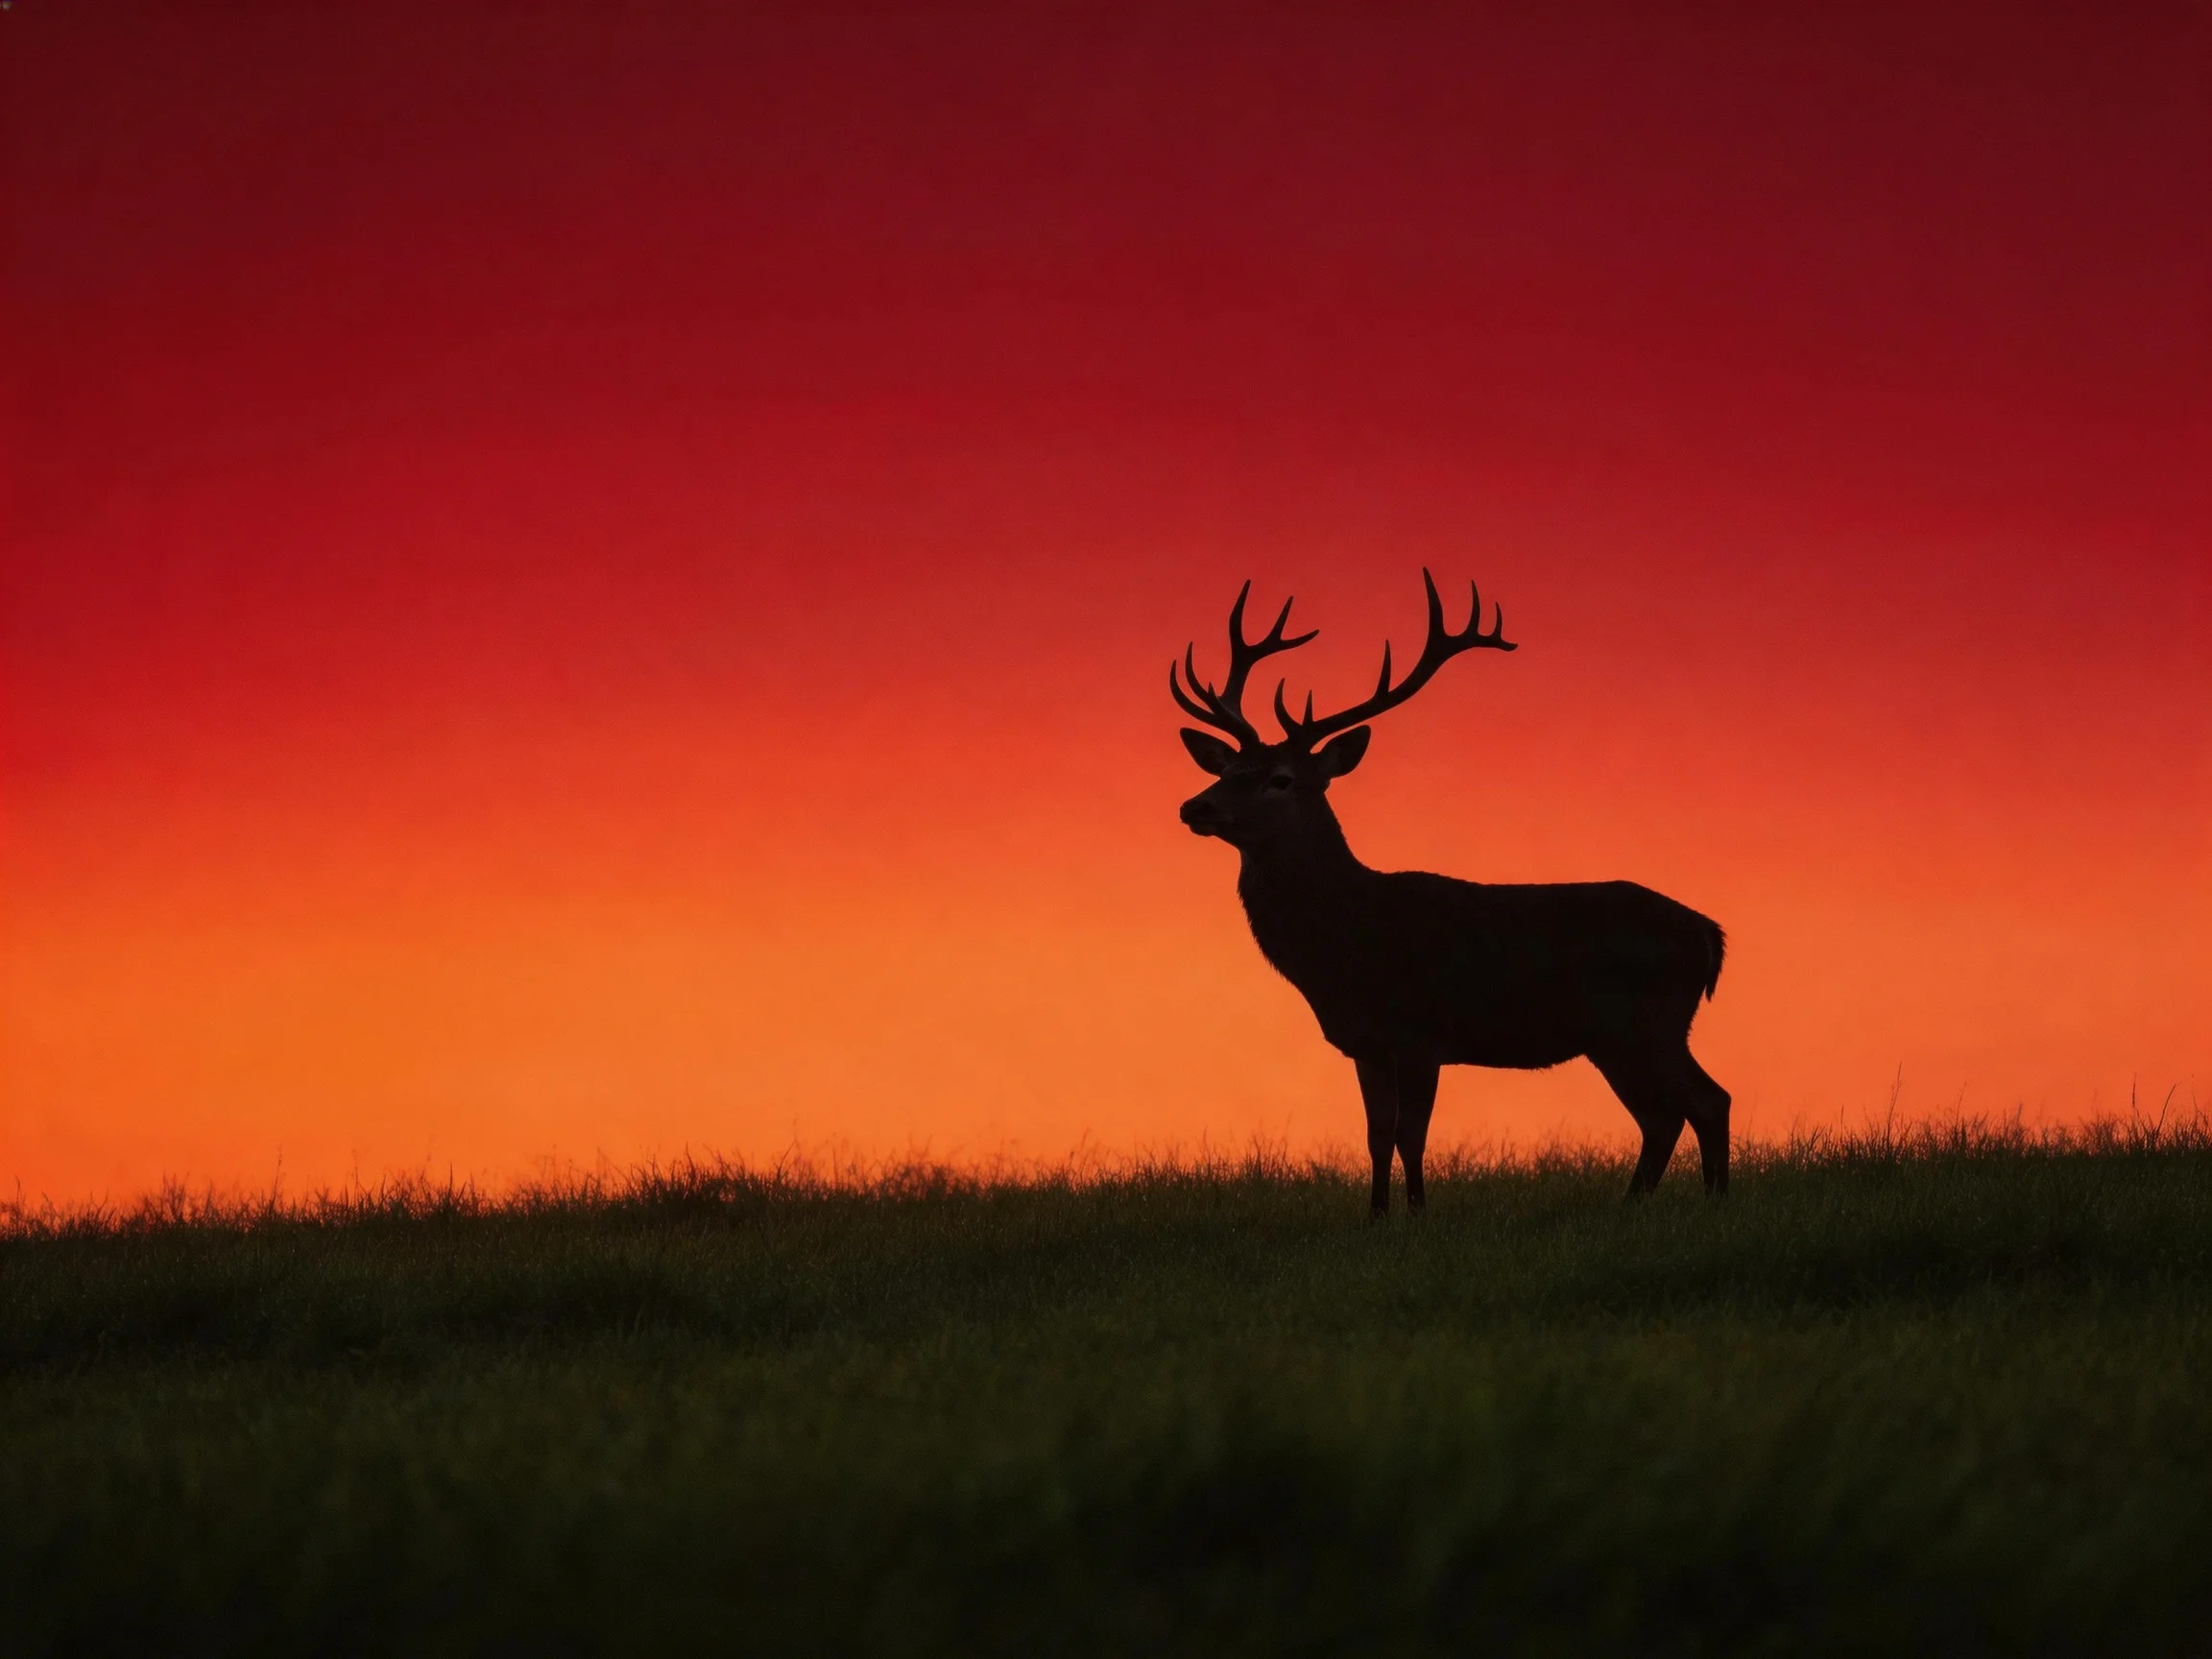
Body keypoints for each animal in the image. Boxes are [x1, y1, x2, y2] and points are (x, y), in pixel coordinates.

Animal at [1173, 573, 1730, 1217]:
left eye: (1280, 779)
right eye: (1225, 770)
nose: (1195, 807)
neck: (1347, 943)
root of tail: (1709, 934)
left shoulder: (1422, 1034)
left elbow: (1410, 1135)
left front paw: (1417, 1213)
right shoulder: (1366, 1044)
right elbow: (1376, 1135)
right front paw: (1376, 1217)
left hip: (1651, 1020)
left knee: (1707, 1101)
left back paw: (1714, 1202)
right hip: (1618, 1036)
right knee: (1664, 1116)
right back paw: (1637, 1204)